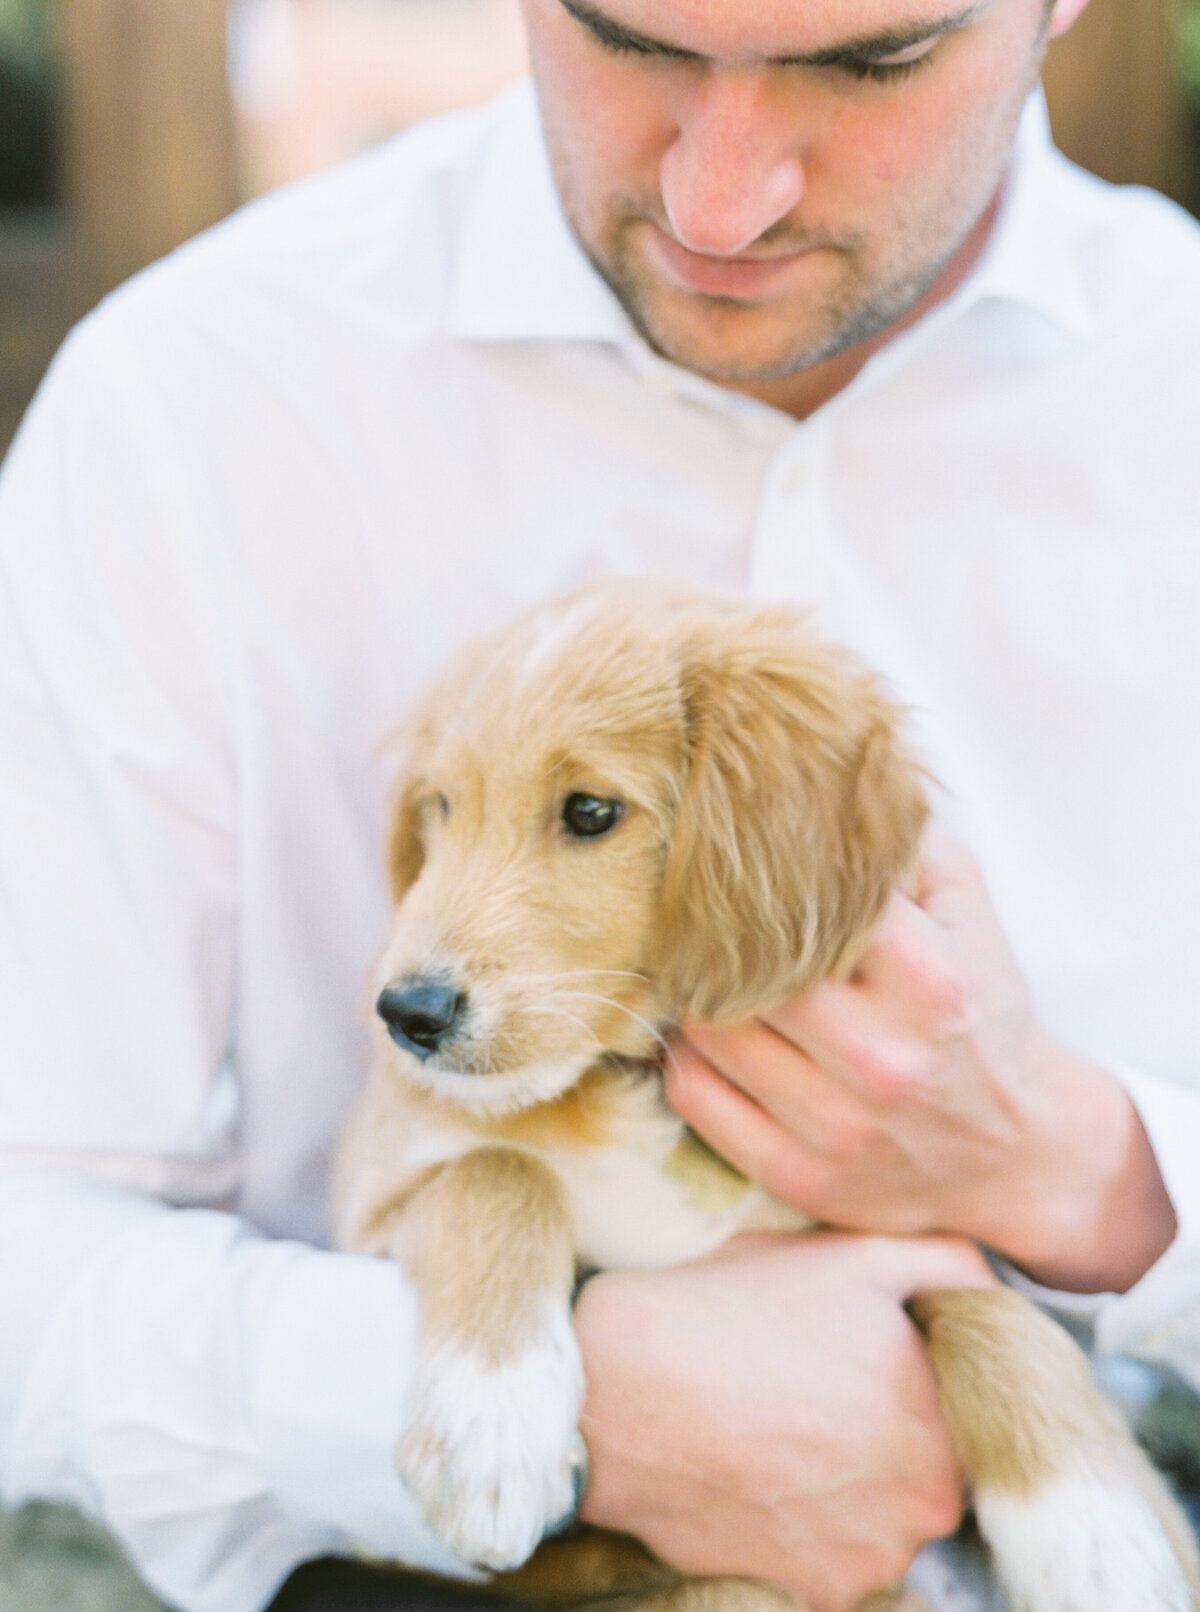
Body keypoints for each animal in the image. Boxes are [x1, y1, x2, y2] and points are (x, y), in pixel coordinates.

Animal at [330, 580, 1200, 1612]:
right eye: (440, 809)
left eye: (590, 811)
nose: (406, 1013)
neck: (637, 1083)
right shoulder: (367, 1213)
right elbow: (495, 1172)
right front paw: (489, 1429)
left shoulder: (922, 1238)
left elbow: (994, 1311)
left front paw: (1095, 1537)